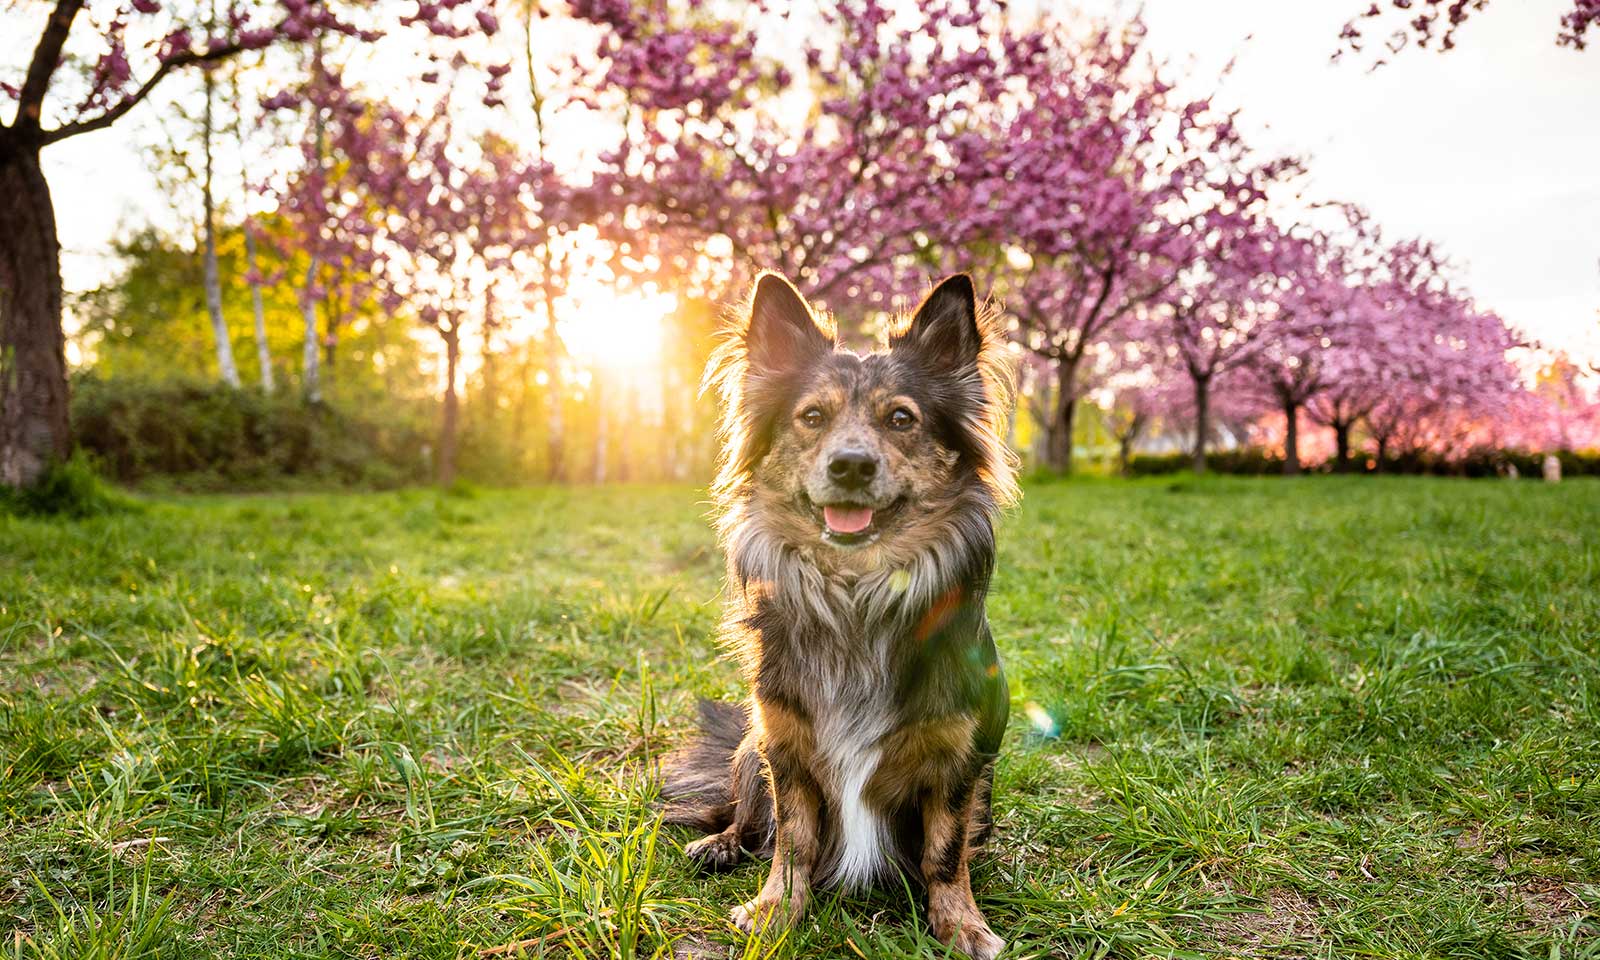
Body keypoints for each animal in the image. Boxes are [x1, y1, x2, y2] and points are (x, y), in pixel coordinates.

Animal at [659, 272, 1011, 960]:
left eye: (901, 419)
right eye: (812, 417)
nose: (851, 464)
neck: (855, 592)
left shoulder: (960, 756)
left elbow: (945, 850)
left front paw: (961, 923)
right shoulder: (785, 742)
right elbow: (793, 839)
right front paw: (776, 910)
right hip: (750, 744)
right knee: (742, 813)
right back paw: (720, 842)